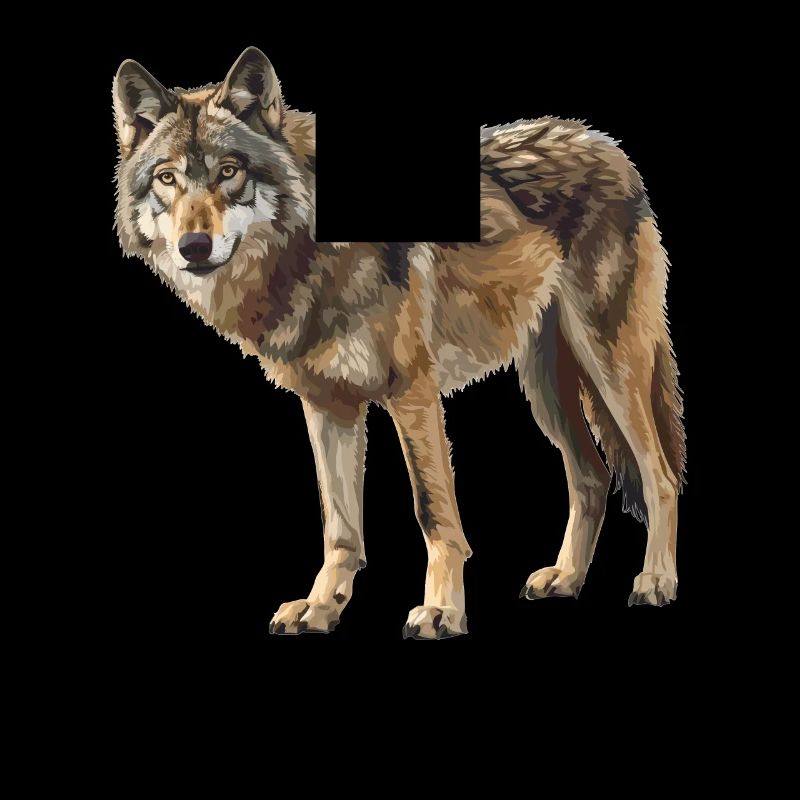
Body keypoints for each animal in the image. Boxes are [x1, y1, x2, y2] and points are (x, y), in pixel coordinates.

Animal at [113, 47, 686, 639]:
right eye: (167, 178)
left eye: (229, 171)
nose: (194, 246)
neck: (310, 249)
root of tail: (605, 144)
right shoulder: (328, 405)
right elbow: (340, 527)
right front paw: (321, 607)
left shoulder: (413, 394)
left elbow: (433, 512)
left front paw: (441, 611)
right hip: (546, 389)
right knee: (592, 477)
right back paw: (566, 578)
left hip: (610, 368)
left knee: (660, 475)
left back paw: (655, 581)